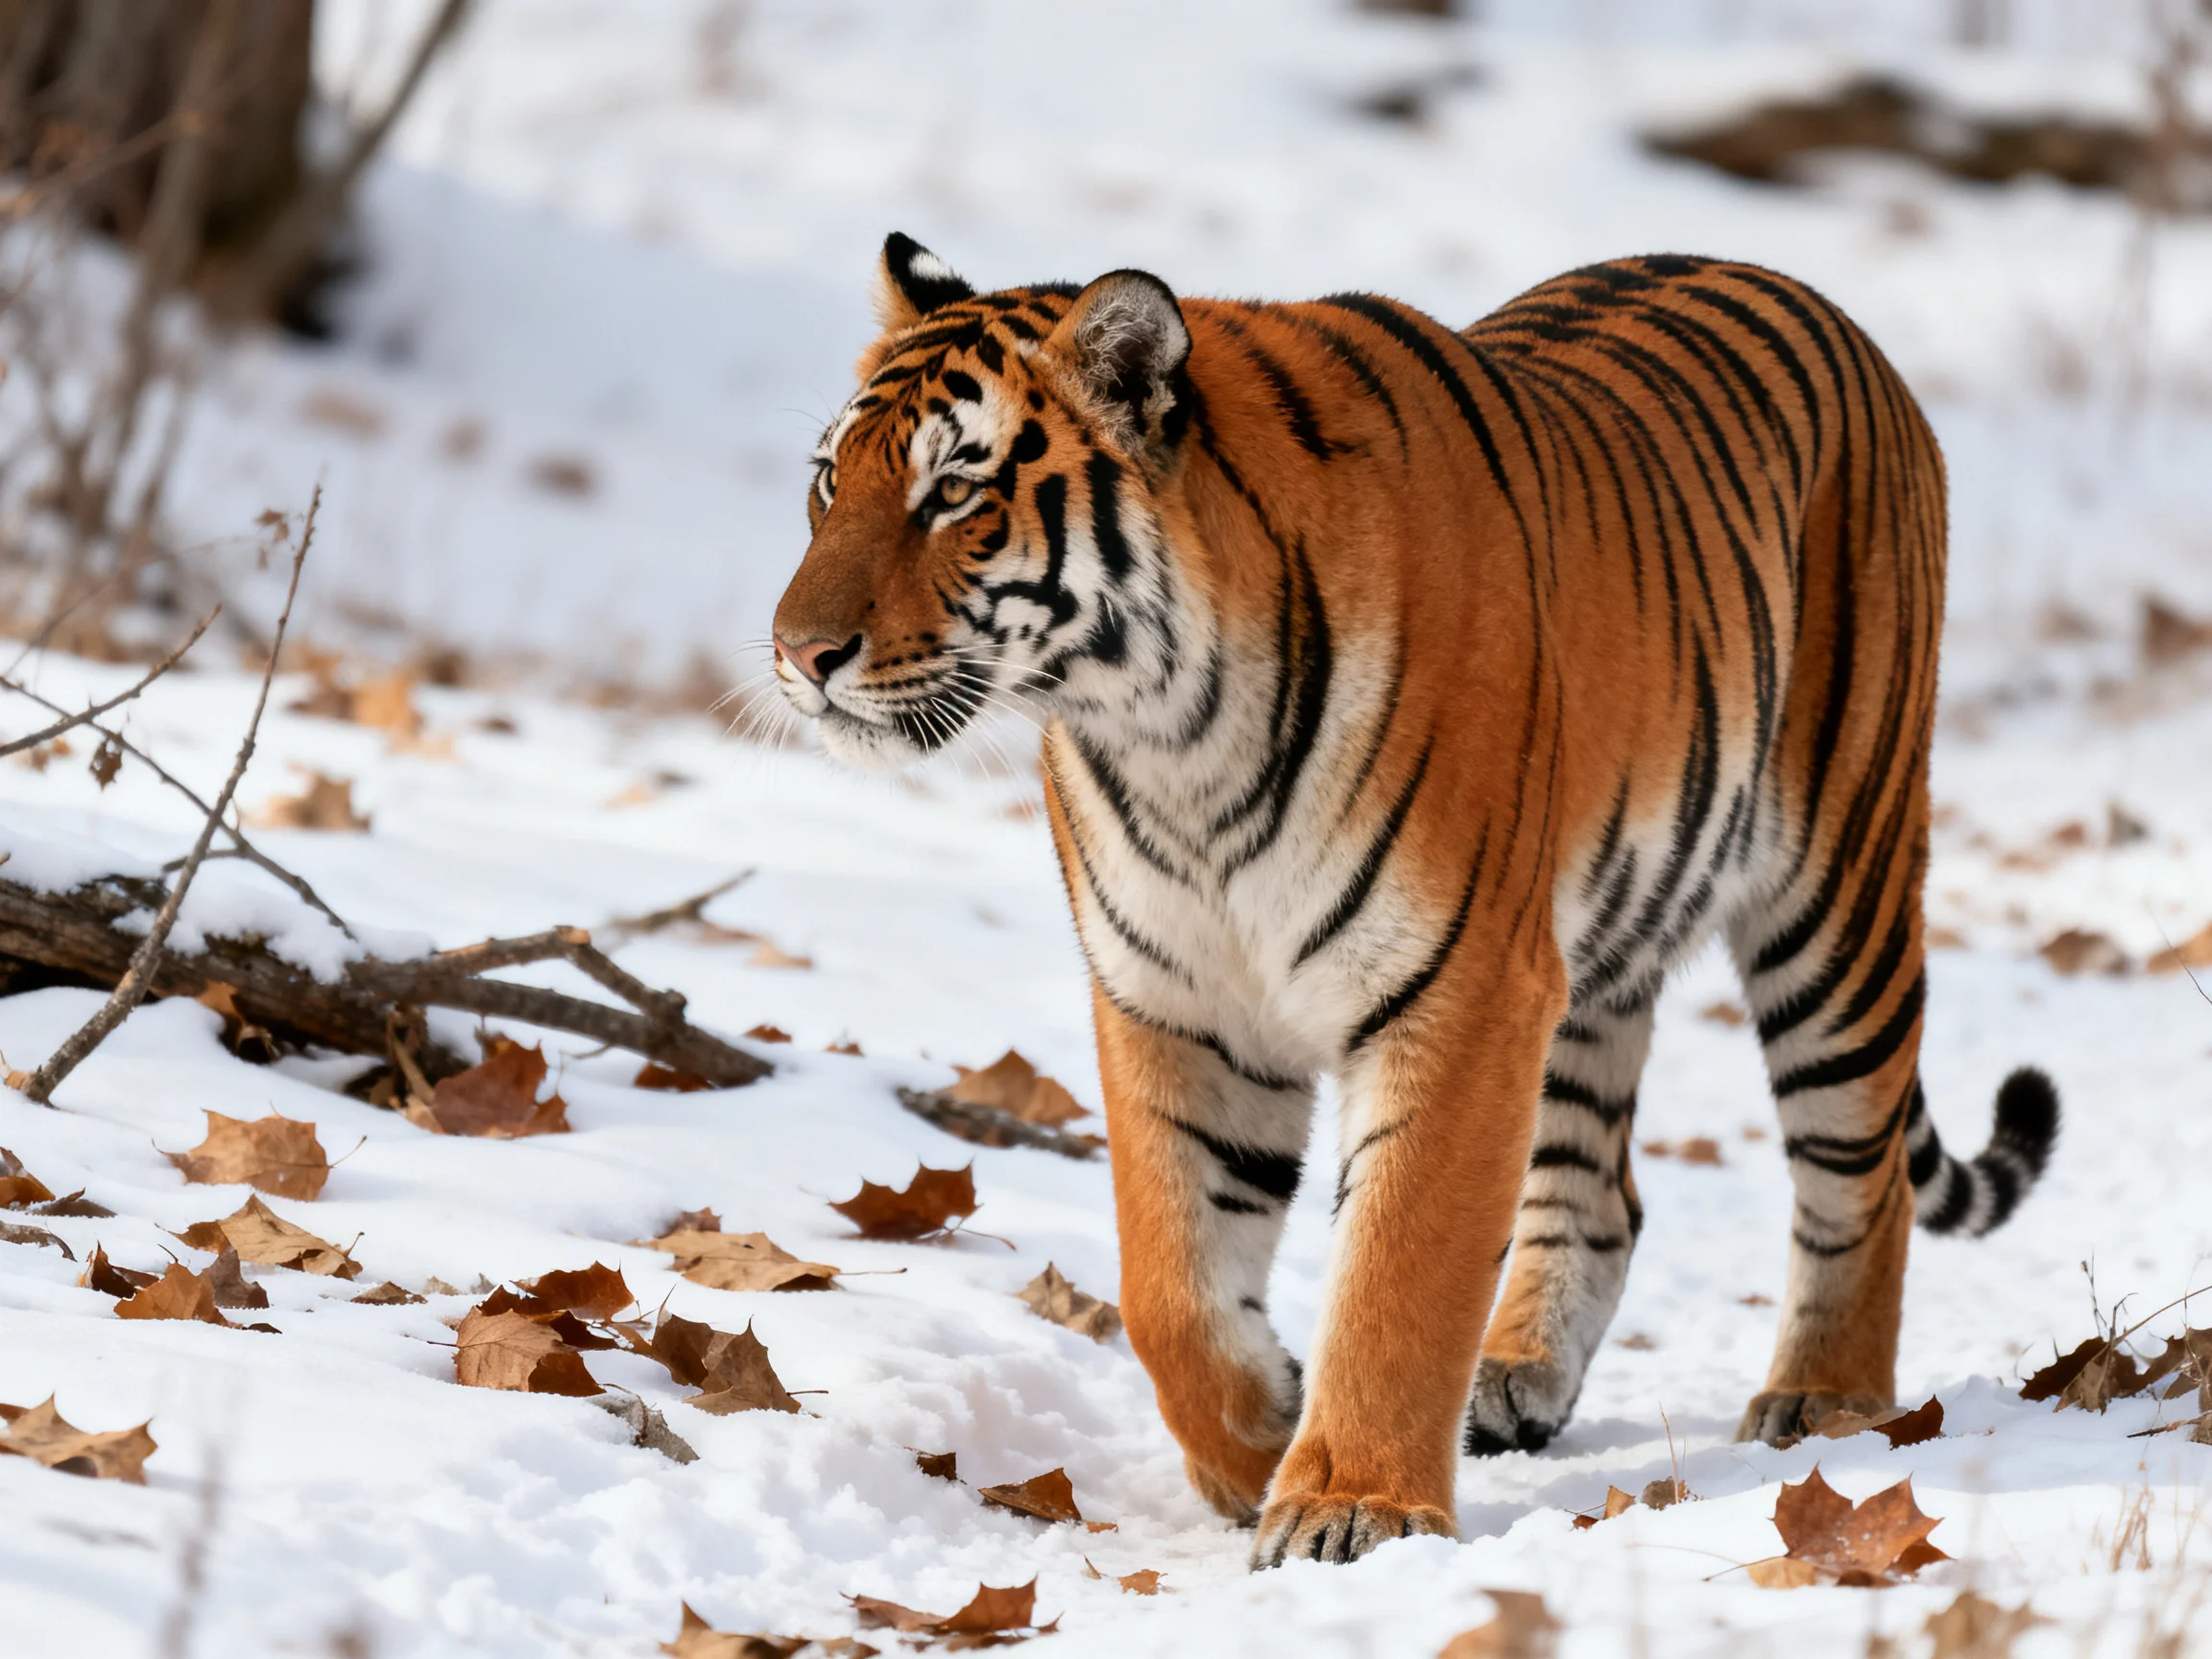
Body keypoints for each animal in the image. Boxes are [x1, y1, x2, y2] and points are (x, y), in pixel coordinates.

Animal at [771, 232, 2060, 1568]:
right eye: (827, 484)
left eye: (954, 493)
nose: (797, 653)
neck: (1173, 739)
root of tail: (1806, 295)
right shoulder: (1180, 1002)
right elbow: (1169, 1282)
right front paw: (1257, 1441)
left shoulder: (1459, 988)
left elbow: (1401, 1264)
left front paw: (1351, 1503)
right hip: (1595, 949)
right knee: (1602, 1189)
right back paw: (1518, 1378)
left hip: (1836, 898)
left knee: (1861, 1173)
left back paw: (1827, 1401)